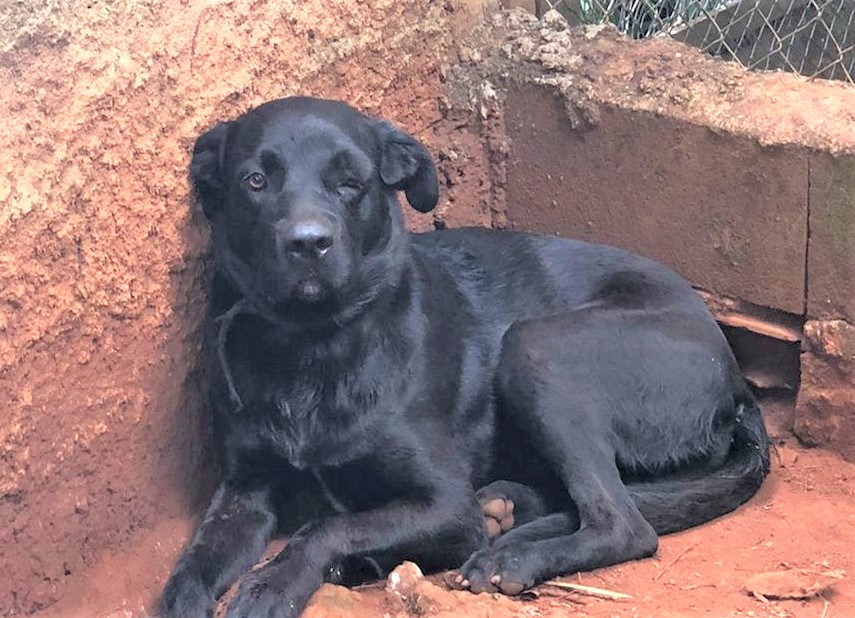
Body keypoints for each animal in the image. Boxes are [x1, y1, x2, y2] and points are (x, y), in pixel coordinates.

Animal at [159, 97, 768, 616]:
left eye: (350, 183)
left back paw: (510, 554)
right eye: (255, 181)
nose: (308, 242)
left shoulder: (446, 504)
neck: (310, 348)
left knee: (624, 523)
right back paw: (506, 512)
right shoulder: (244, 490)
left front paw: (274, 584)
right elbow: (195, 562)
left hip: (538, 348)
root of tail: (737, 382)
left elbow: (327, 528)